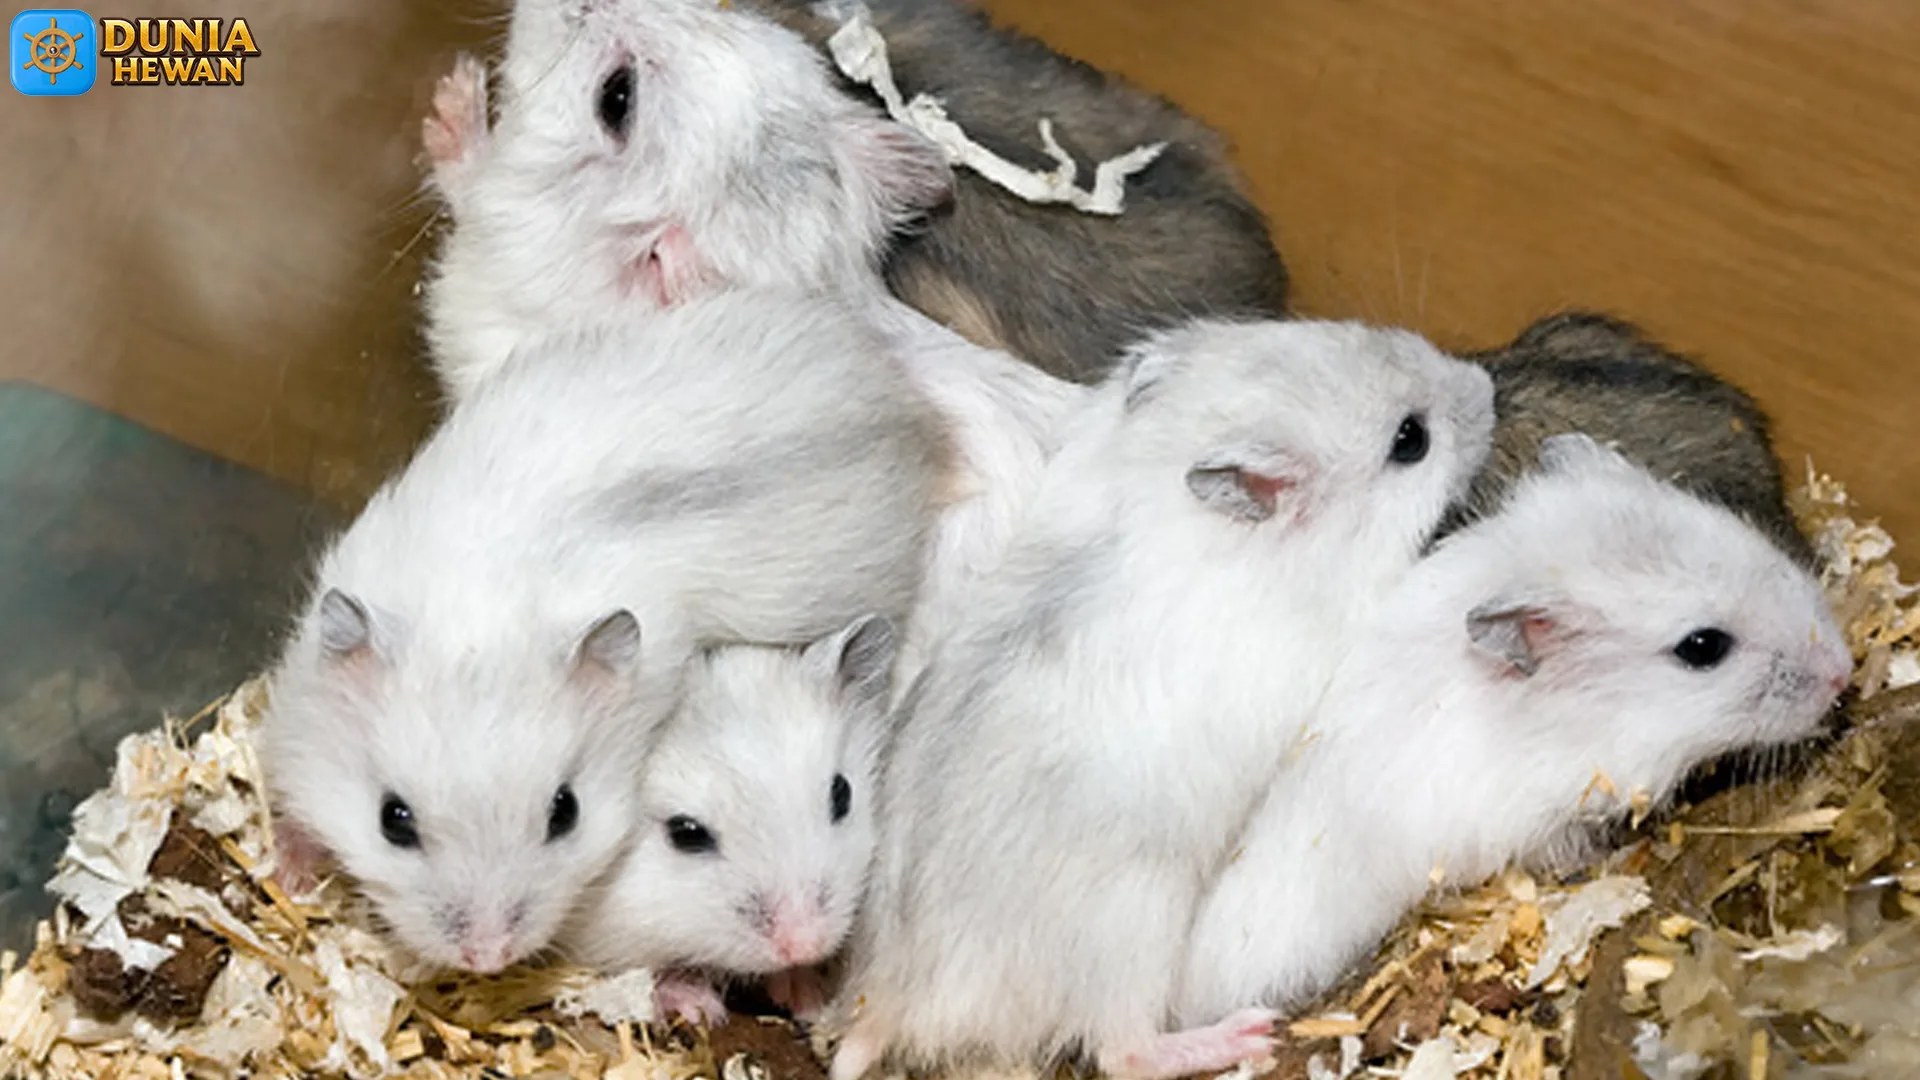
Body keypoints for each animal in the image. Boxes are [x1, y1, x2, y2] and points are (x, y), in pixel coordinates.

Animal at [261, 289, 945, 975]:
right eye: (392, 822)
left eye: (565, 813)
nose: (487, 957)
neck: (479, 612)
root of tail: (894, 394)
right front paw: (291, 872)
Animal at [828, 319, 1496, 1080]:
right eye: (1410, 440)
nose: (1488, 386)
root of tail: (891, 997)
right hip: (1132, 935)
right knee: (1123, 1051)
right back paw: (1248, 1036)